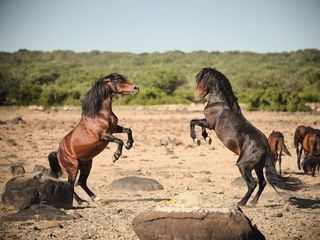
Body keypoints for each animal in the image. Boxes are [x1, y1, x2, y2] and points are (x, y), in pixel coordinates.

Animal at [48, 72, 138, 204]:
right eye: (117, 81)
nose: (136, 87)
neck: (98, 114)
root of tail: (58, 153)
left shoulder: (114, 129)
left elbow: (128, 130)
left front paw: (129, 144)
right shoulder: (104, 135)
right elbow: (119, 141)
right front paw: (115, 156)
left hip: (86, 165)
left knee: (81, 182)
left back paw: (96, 197)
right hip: (73, 168)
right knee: (70, 184)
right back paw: (81, 201)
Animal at [190, 67, 302, 206]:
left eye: (202, 79)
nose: (197, 96)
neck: (219, 103)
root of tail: (266, 147)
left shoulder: (209, 124)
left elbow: (193, 122)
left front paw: (197, 139)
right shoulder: (207, 122)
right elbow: (197, 124)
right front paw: (206, 138)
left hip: (243, 166)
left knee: (252, 184)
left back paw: (241, 203)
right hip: (257, 167)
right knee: (262, 182)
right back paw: (253, 202)